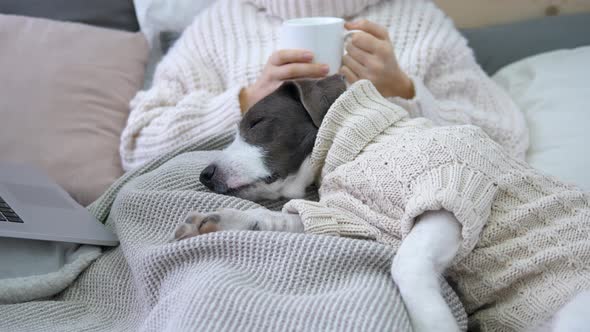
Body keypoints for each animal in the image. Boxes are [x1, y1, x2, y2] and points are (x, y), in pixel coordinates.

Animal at [173, 75, 590, 332]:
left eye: (258, 122)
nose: (205, 174)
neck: (363, 142)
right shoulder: (356, 220)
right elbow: (281, 219)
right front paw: (218, 221)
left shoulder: (456, 188)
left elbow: (407, 263)